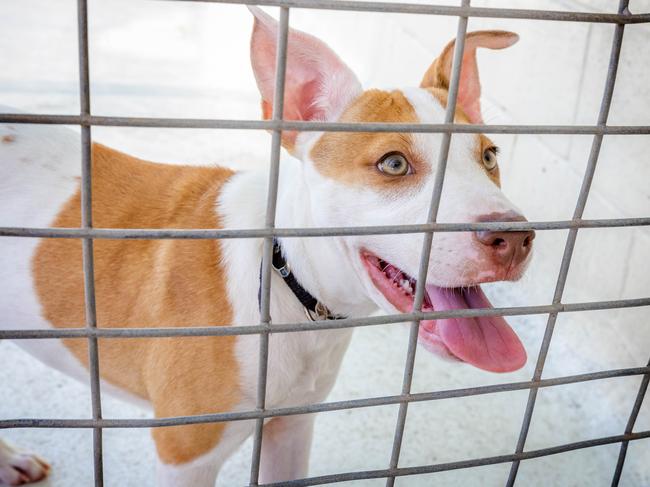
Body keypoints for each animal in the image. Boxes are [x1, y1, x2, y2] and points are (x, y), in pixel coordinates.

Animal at [0, 7, 532, 487]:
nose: (516, 239)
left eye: (490, 156)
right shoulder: (185, 455)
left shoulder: (291, 428)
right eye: (394, 164)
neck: (286, 282)